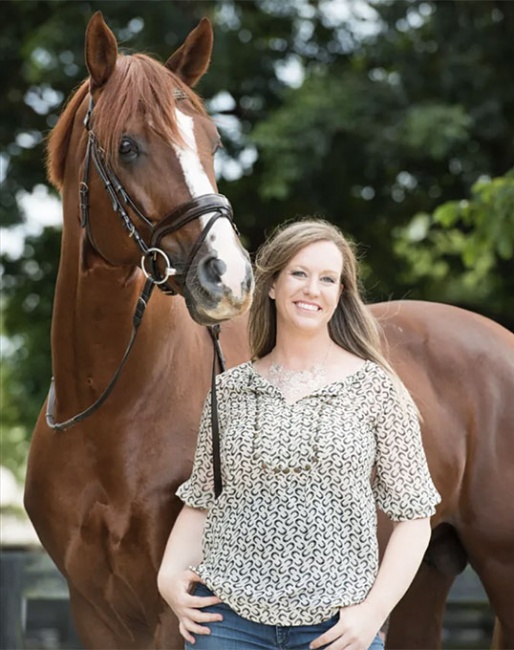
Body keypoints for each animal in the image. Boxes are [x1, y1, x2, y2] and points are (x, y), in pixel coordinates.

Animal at [25, 8, 512, 648]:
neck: (110, 413)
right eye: (127, 146)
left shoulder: (173, 608)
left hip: (501, 564)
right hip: (421, 577)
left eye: (213, 141)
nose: (228, 275)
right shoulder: (93, 609)